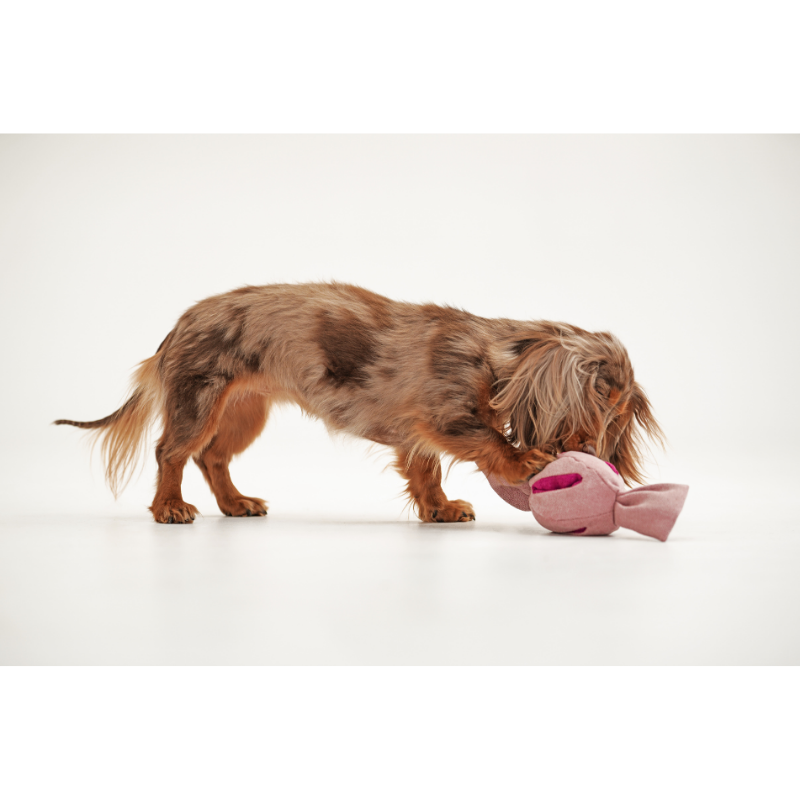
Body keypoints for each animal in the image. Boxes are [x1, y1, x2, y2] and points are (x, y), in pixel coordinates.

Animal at [56, 282, 663, 524]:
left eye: (618, 416)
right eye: (602, 406)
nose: (600, 461)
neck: (489, 356)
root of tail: (178, 325)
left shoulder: (417, 434)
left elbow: (426, 473)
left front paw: (439, 509)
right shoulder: (445, 416)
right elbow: (487, 438)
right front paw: (523, 461)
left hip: (243, 412)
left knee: (213, 457)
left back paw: (235, 503)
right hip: (199, 400)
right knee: (171, 453)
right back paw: (169, 508)